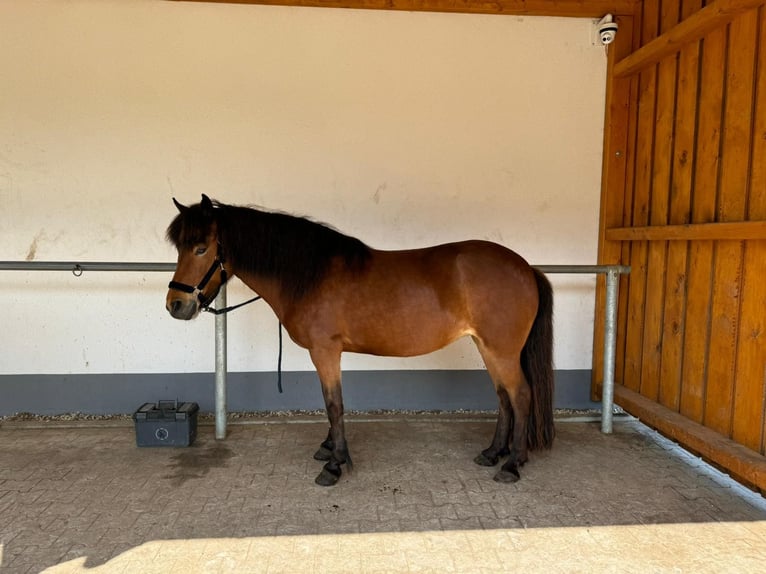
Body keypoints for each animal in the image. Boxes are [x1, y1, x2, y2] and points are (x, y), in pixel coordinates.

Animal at [165, 196, 556, 488]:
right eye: (180, 248)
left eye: (201, 248)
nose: (175, 305)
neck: (310, 274)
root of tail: (525, 268)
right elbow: (330, 403)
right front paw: (328, 449)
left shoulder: (325, 351)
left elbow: (334, 404)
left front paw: (335, 464)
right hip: (487, 347)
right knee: (504, 398)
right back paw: (493, 453)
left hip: (501, 351)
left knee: (521, 396)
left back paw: (512, 464)